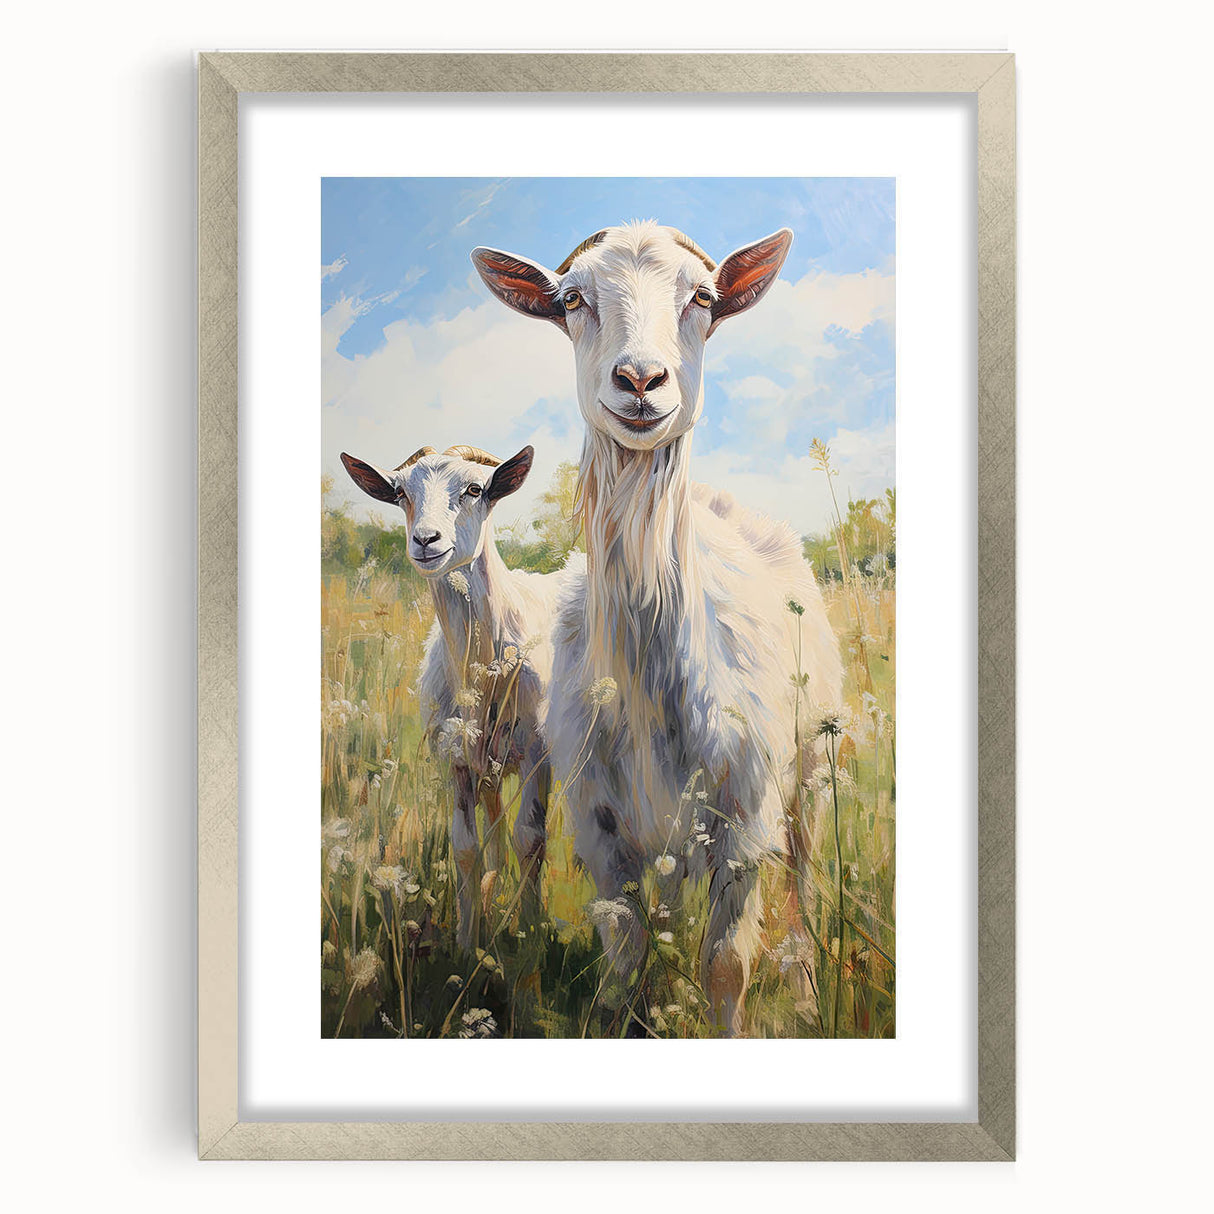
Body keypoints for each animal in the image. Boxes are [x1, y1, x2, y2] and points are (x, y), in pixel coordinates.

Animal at [340, 443, 562, 949]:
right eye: (401, 493)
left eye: (475, 489)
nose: (426, 540)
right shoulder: (455, 761)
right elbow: (464, 848)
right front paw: (466, 940)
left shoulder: (538, 754)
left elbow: (531, 840)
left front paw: (532, 938)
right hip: (487, 766)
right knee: (494, 829)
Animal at [472, 222, 843, 1033]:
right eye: (572, 300)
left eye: (702, 298)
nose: (640, 381)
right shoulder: (600, 827)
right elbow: (624, 962)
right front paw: (638, 1014)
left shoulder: (744, 823)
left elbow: (727, 966)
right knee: (670, 907)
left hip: (810, 772)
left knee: (804, 875)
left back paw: (805, 993)